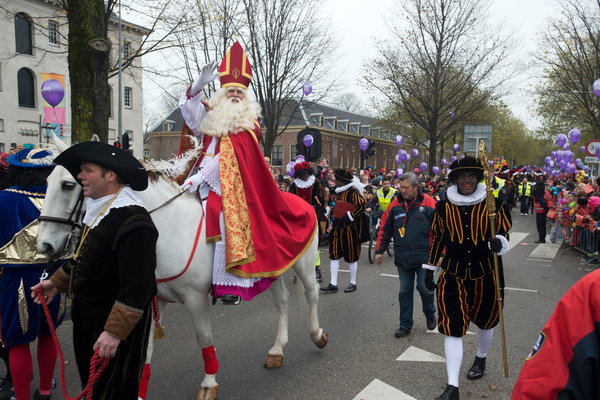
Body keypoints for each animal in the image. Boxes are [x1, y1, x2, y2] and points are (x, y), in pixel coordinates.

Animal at [36, 138, 328, 400]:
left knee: (312, 294)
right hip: (271, 272)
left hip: (303, 264)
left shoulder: (195, 298)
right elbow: (146, 348)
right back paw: (277, 350)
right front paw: (139, 392)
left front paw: (209, 383)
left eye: (68, 185)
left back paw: (317, 335)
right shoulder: (152, 299)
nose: (44, 245)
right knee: (282, 303)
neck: (168, 230)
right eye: (46, 182)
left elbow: (204, 337)